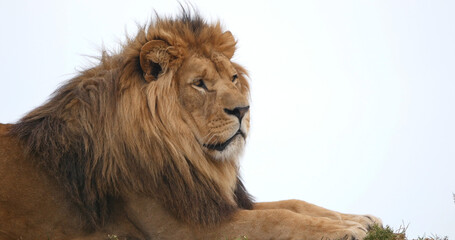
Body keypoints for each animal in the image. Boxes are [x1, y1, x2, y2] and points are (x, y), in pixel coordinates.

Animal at [0, 9, 382, 240]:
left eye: (232, 78)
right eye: (199, 84)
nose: (243, 109)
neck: (189, 154)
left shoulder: (210, 201)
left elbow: (294, 203)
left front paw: (358, 218)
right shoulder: (185, 229)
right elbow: (276, 218)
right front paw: (345, 230)